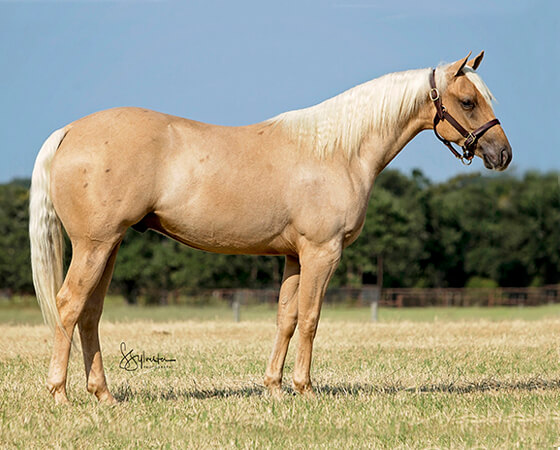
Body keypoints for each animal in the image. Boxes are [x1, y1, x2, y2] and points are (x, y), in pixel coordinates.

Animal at [29, 52, 512, 404]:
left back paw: (104, 396)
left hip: (108, 246)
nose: (502, 154)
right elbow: (311, 319)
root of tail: (68, 131)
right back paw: (59, 395)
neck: (337, 151)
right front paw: (305, 389)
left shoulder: (293, 257)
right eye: (468, 101)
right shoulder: (321, 252)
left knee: (90, 313)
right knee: (69, 306)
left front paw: (275, 389)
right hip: (94, 246)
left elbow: (286, 319)